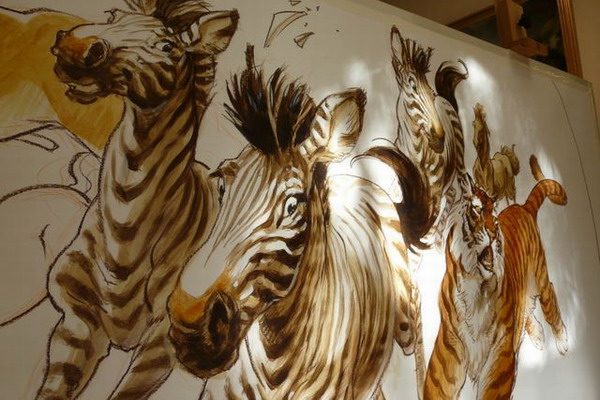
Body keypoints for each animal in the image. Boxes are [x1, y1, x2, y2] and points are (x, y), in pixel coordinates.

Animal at [168, 46, 430, 400]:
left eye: (292, 205)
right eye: (221, 185)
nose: (189, 324)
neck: (278, 351)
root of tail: (359, 179)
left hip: (407, 328)